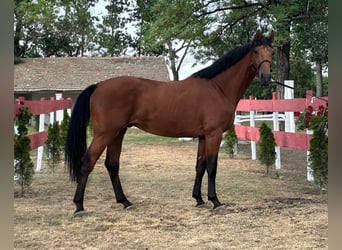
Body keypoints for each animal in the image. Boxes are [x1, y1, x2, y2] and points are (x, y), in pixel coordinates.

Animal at [65, 29, 276, 215]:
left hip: (118, 133)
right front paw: (215, 201)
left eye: (272, 52)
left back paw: (125, 202)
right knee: (88, 162)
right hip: (105, 133)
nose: (266, 77)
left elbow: (200, 167)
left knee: (112, 165)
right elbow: (212, 167)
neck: (218, 87)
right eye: (256, 51)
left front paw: (199, 199)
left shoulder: (203, 137)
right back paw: (79, 206)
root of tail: (98, 86)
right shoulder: (213, 135)